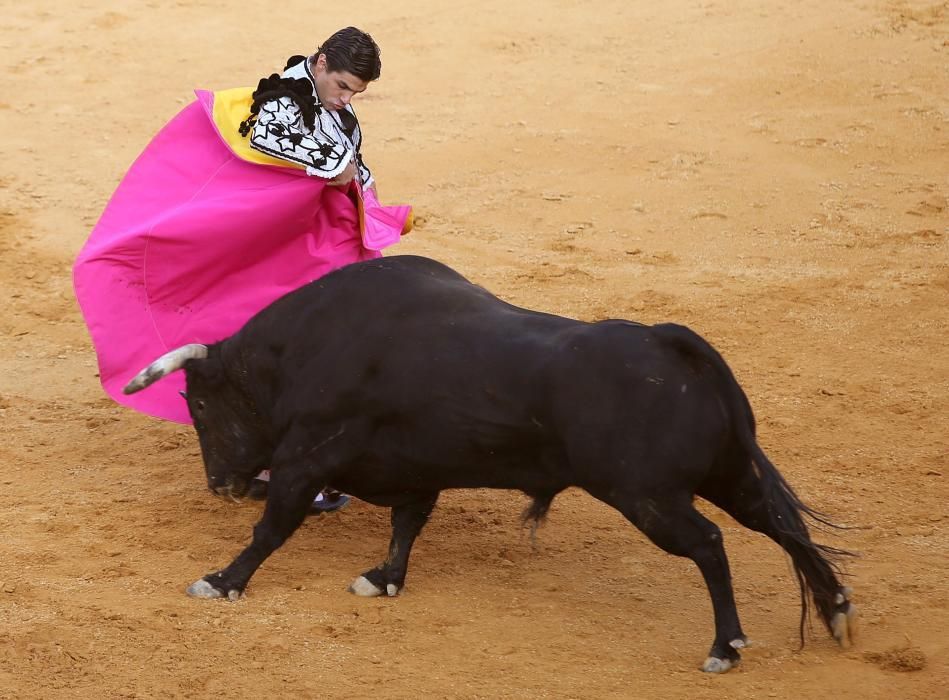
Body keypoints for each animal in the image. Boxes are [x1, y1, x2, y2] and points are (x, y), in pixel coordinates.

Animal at [122, 254, 856, 668]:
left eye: (200, 406)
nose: (221, 485)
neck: (298, 348)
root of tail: (667, 342)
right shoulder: (414, 470)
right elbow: (407, 526)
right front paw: (383, 580)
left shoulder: (307, 458)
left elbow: (273, 528)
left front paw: (221, 581)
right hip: (727, 475)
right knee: (782, 526)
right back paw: (837, 612)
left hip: (649, 497)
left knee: (709, 544)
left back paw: (724, 647)